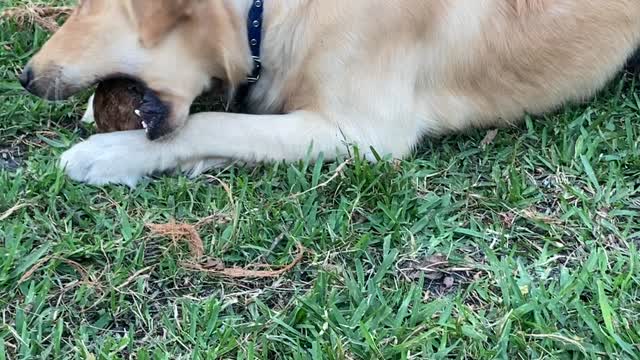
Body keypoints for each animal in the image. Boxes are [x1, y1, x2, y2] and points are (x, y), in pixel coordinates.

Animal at [17, 0, 640, 186]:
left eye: (86, 9)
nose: (23, 75)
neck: (263, 12)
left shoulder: (366, 133)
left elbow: (214, 122)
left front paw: (109, 153)